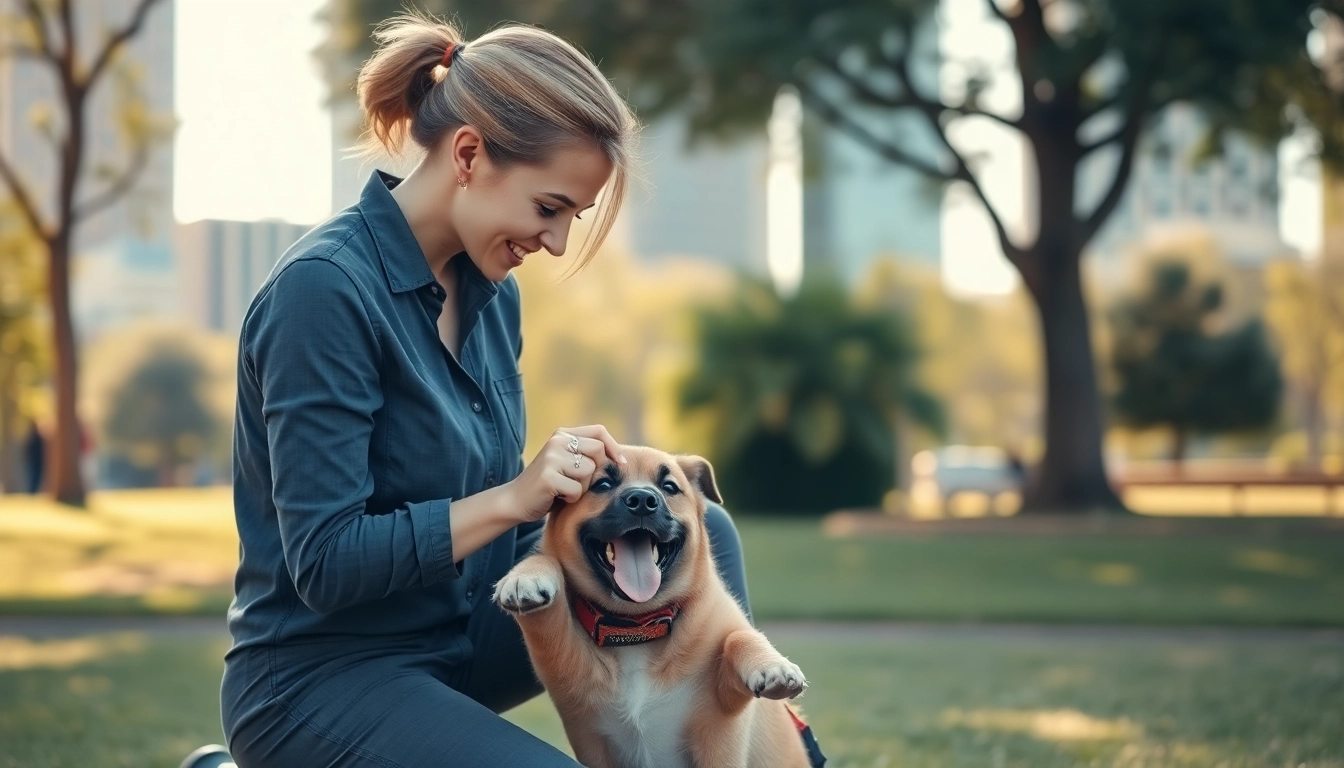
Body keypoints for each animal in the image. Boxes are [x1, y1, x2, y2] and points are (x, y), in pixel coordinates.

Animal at [491, 446, 811, 763]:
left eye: (669, 487)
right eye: (602, 484)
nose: (643, 501)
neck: (637, 627)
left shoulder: (722, 729)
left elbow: (739, 636)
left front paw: (772, 666)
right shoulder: (588, 735)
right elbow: (544, 565)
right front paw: (525, 576)